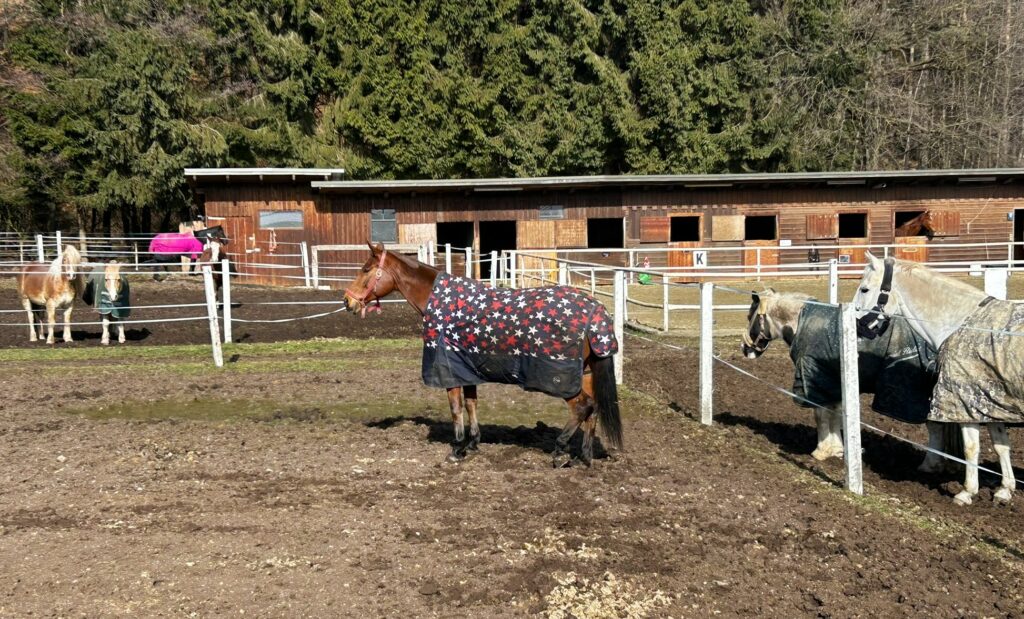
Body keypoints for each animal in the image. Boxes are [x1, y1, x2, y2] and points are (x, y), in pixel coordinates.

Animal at [342, 242, 622, 467]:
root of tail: (595, 311)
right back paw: (584, 456)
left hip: (562, 379)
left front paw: (456, 449)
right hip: (586, 373)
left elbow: (456, 408)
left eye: (365, 269)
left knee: (583, 407)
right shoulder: (467, 368)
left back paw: (560, 450)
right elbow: (471, 403)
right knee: (593, 410)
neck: (446, 305)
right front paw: (473, 443)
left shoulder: (450, 370)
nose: (347, 301)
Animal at [742, 289, 958, 469]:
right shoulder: (834, 384)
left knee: (936, 427)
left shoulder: (815, 382)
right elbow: (836, 414)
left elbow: (820, 414)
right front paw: (838, 449)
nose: (745, 349)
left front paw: (822, 450)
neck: (803, 322)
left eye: (749, 316)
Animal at [853, 253, 1016, 505]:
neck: (960, 323)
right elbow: (1001, 445)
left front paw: (966, 492)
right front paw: (1005, 490)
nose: (854, 324)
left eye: (864, 289)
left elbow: (971, 447)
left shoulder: (965, 404)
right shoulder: (989, 401)